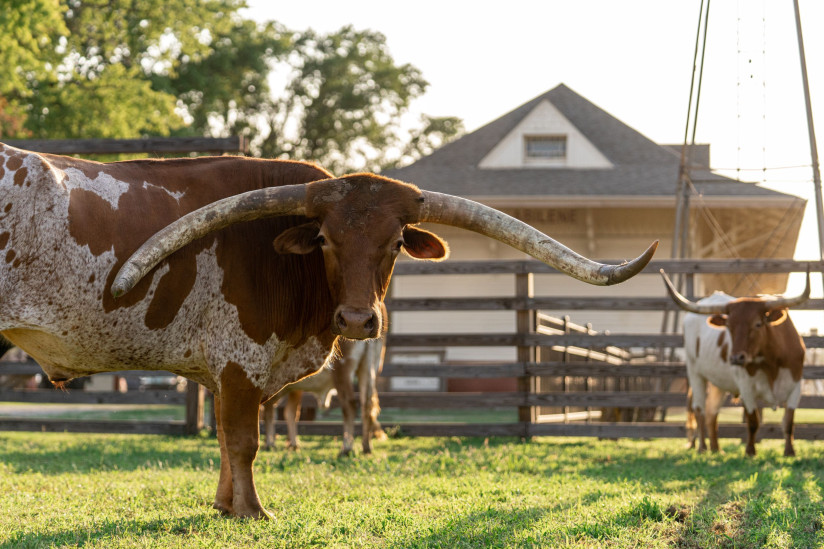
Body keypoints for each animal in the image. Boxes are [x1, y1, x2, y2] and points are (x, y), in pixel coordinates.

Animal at [0, 142, 656, 520]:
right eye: (326, 240)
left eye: (395, 243)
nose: (359, 320)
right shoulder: (241, 362)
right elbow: (244, 441)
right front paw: (253, 513)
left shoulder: (225, 372)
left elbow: (227, 444)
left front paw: (224, 508)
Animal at [664, 268, 812, 456]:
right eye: (729, 326)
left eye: (758, 324)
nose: (735, 358)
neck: (772, 363)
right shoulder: (746, 387)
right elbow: (753, 421)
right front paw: (750, 452)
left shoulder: (795, 385)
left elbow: (789, 422)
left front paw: (789, 452)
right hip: (695, 373)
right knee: (700, 409)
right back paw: (703, 448)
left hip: (718, 382)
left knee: (712, 412)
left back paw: (716, 449)